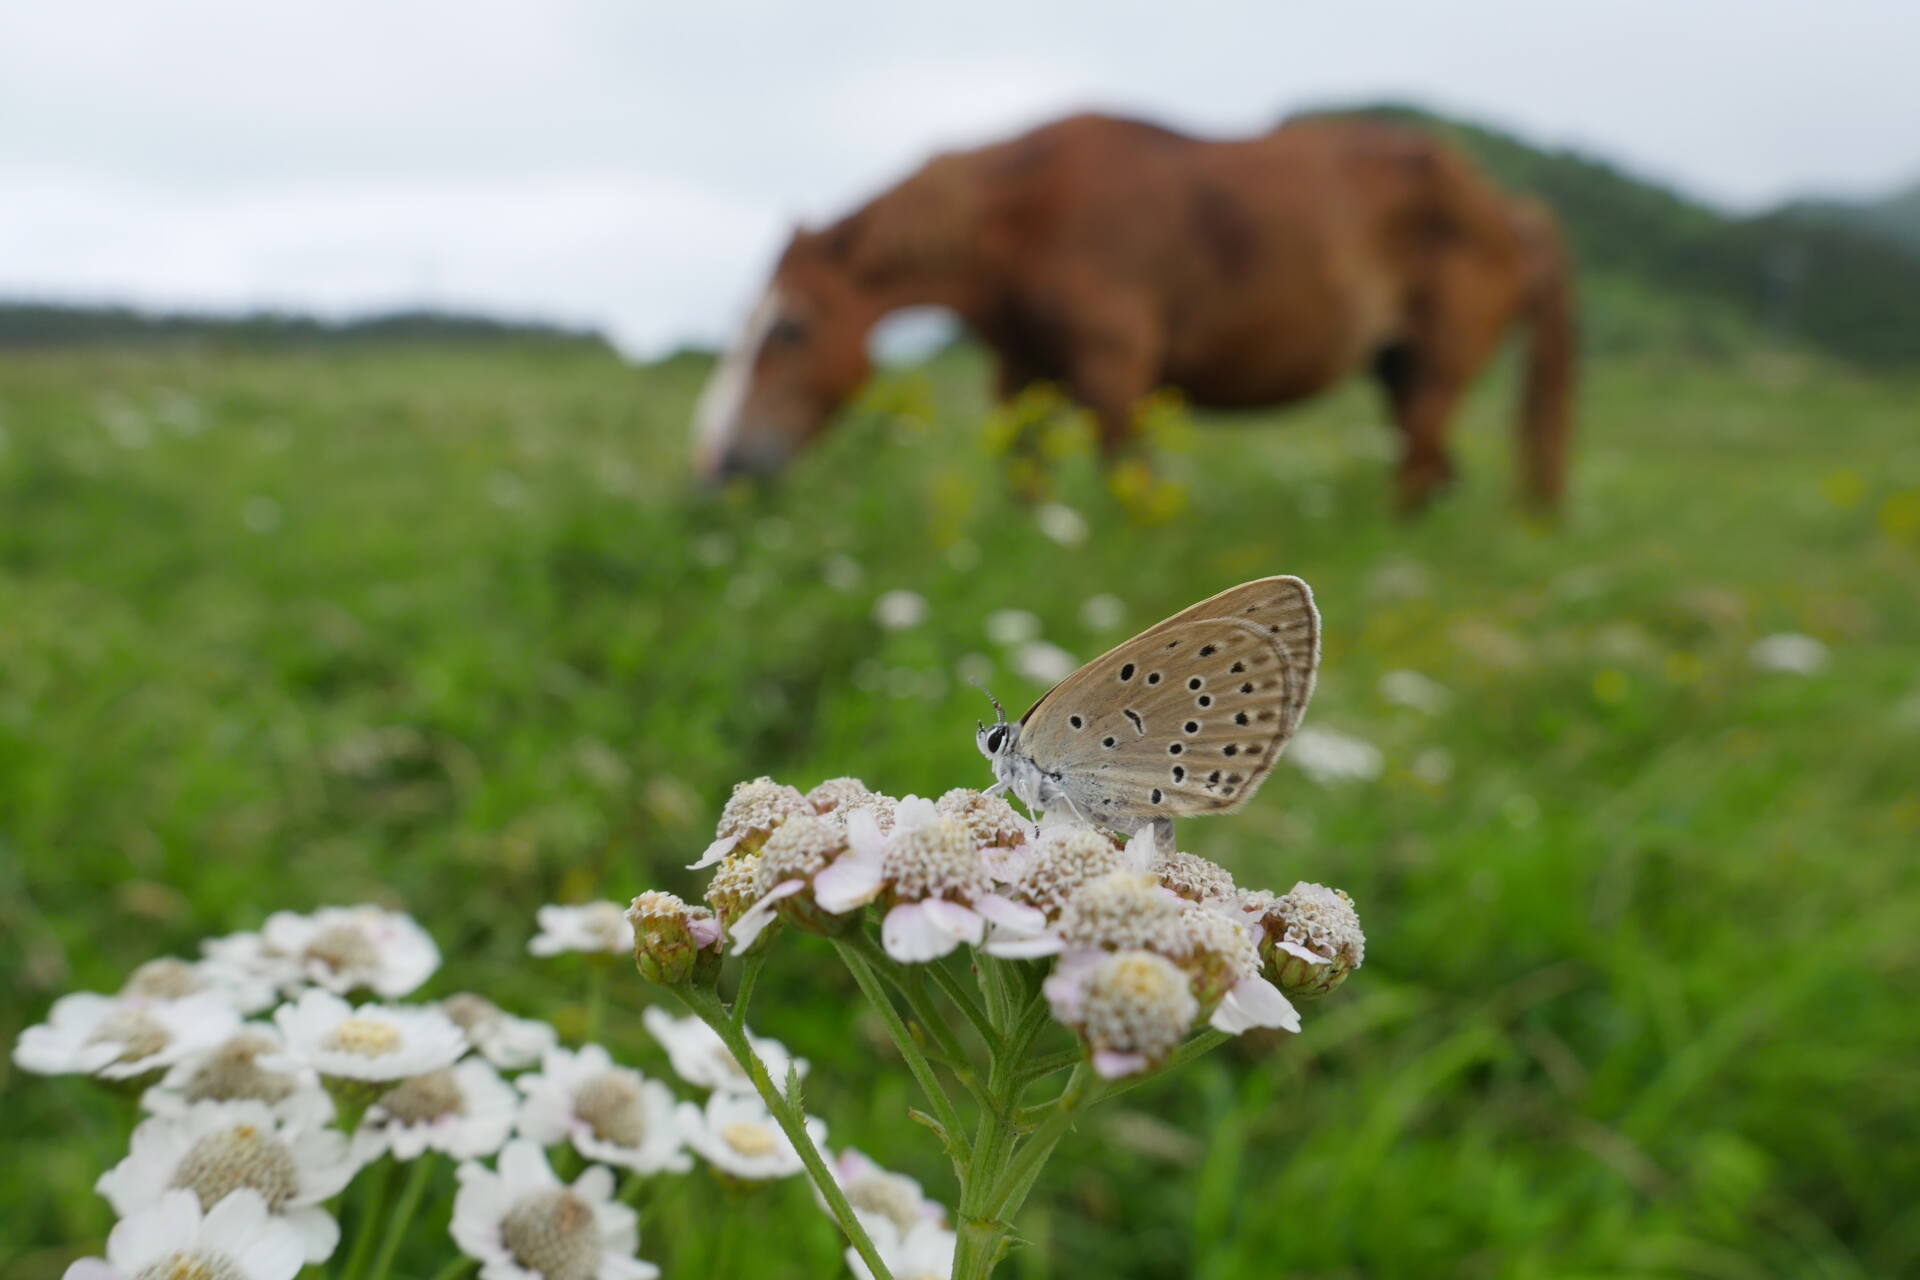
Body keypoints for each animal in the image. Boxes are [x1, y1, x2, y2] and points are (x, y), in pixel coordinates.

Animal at [691, 110, 1574, 510]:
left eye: (790, 328)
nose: (714, 465)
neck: (1029, 219)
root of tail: (1508, 209)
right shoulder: (1022, 376)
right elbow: (1027, 485)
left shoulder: (1116, 370)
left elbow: (1128, 482)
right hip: (1399, 373)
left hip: (1436, 370)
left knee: (1419, 474)